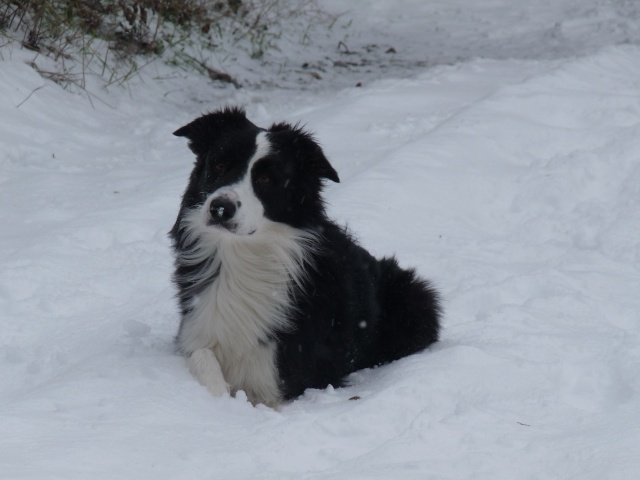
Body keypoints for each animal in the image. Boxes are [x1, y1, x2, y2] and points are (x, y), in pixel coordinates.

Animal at [170, 107, 440, 406]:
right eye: (219, 165)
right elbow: (202, 357)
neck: (242, 255)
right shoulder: (196, 330)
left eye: (265, 179)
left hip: (415, 299)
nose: (220, 208)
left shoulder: (282, 379)